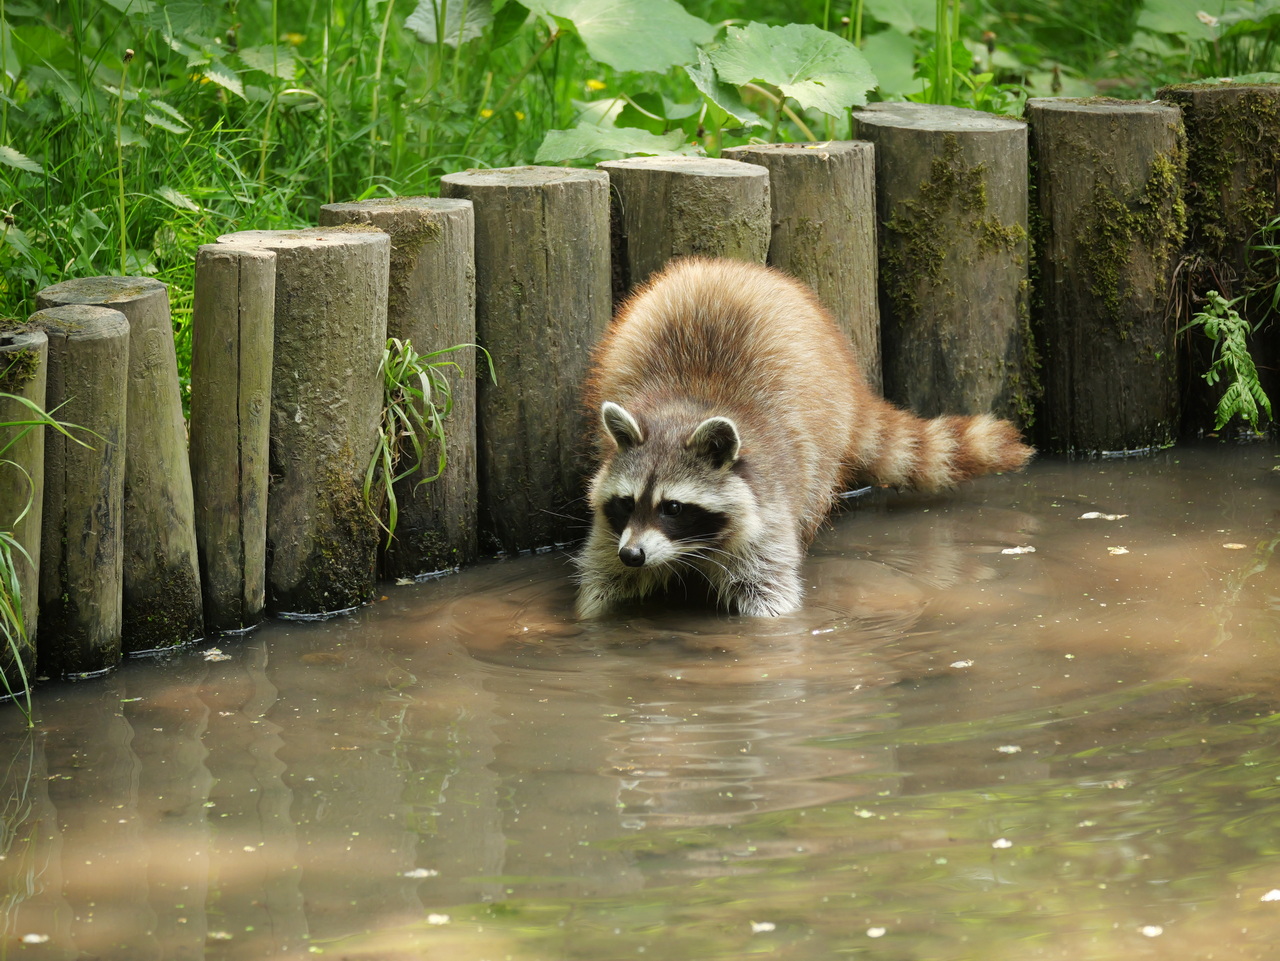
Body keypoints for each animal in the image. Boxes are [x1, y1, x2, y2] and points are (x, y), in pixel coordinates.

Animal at [576, 257, 1034, 616]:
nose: (633, 554)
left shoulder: (768, 505)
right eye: (626, 502)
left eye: (673, 507)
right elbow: (603, 577)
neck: (685, 410)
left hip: (822, 440)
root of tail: (735, 267)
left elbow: (769, 592)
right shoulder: (615, 529)